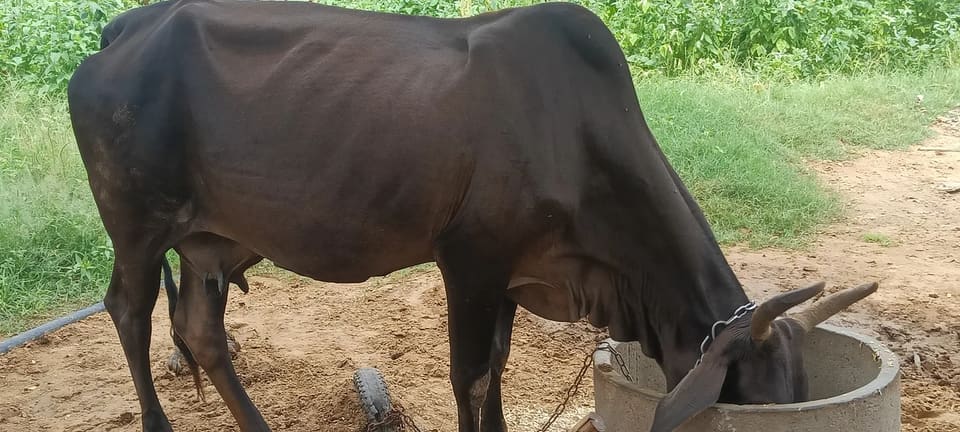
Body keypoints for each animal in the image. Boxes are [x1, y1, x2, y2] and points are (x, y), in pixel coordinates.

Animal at [67, 1, 878, 431]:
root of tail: (124, 29)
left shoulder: (516, 276)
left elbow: (500, 367)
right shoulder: (471, 262)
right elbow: (474, 377)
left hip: (212, 238)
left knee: (201, 331)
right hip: (137, 227)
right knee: (129, 313)